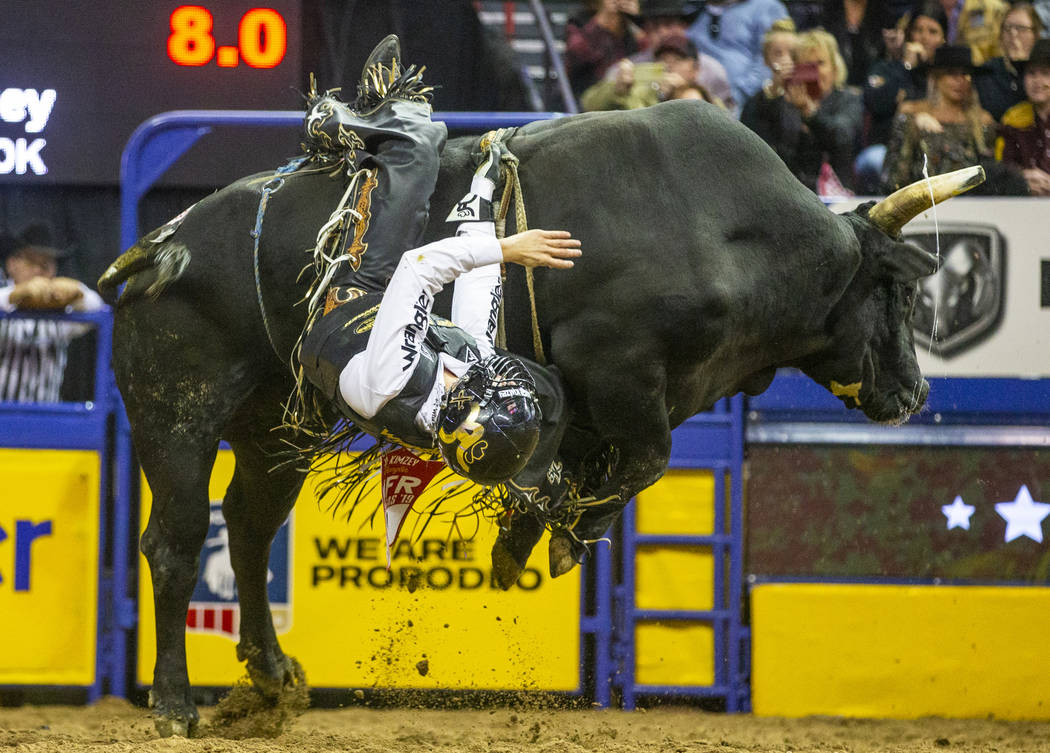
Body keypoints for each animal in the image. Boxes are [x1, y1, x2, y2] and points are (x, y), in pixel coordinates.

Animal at [98, 99, 974, 735]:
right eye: (897, 291)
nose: (913, 395)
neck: (723, 230)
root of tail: (162, 244)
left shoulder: (596, 401)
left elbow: (594, 468)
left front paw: (526, 533)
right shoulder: (618, 372)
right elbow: (647, 457)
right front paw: (548, 543)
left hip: (274, 426)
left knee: (247, 530)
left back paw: (272, 678)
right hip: (177, 415)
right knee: (175, 543)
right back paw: (174, 703)